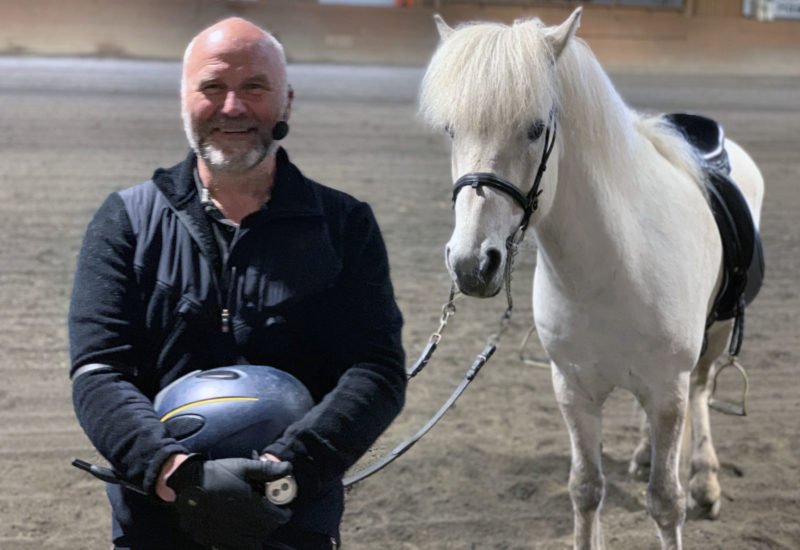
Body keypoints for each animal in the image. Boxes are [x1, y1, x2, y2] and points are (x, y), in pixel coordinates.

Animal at [418, 9, 764, 550]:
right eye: (453, 130)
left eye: (536, 128)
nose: (473, 264)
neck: (611, 268)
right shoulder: (574, 389)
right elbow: (585, 488)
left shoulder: (667, 389)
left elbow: (666, 500)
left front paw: (686, 486)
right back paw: (645, 453)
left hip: (717, 334)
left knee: (702, 392)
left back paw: (705, 479)